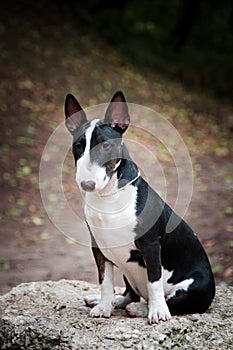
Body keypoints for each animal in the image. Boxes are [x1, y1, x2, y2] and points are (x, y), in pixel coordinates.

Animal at [63, 89, 215, 322]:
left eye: (105, 145)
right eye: (78, 146)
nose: (87, 184)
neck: (110, 196)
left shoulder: (150, 244)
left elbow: (154, 280)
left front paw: (157, 312)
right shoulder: (98, 245)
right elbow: (105, 279)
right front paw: (104, 306)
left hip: (196, 286)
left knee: (171, 301)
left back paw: (145, 308)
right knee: (129, 293)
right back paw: (109, 301)